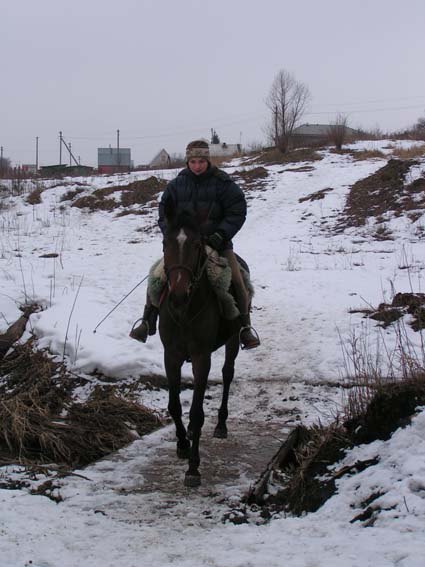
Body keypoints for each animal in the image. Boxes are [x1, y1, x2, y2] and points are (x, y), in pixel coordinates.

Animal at [158, 204, 242, 488]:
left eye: (197, 245)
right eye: (165, 243)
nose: (177, 295)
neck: (184, 312)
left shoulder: (201, 357)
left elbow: (196, 411)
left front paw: (193, 468)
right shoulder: (171, 356)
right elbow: (174, 405)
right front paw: (183, 444)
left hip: (233, 339)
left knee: (227, 374)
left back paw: (221, 425)